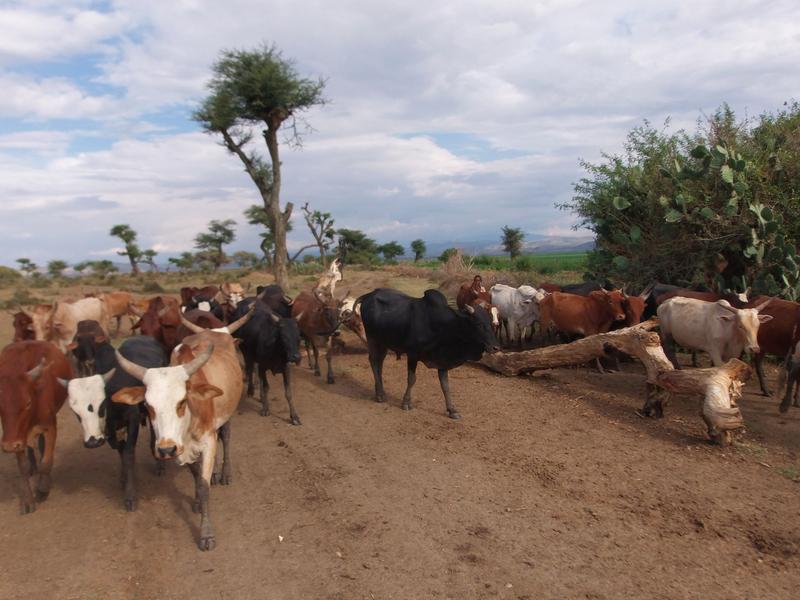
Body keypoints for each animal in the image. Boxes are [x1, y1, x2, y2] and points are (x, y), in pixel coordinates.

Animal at [0, 340, 72, 512]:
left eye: (27, 403)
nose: (8, 446)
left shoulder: (50, 427)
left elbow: (46, 462)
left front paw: (42, 490)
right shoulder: (17, 436)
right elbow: (23, 467)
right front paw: (28, 501)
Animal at [61, 332, 167, 510]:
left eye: (101, 405)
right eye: (75, 412)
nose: (92, 442)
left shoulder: (133, 419)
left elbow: (128, 453)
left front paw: (130, 495)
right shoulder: (111, 431)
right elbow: (120, 450)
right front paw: (124, 478)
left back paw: (159, 463)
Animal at [112, 330, 242, 552]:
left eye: (182, 402)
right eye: (147, 406)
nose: (166, 450)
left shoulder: (207, 441)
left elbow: (204, 487)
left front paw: (206, 534)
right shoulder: (181, 450)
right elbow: (196, 475)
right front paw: (197, 502)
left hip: (226, 416)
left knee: (225, 437)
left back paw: (225, 473)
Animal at [234, 296, 306, 426]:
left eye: (298, 337)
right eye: (283, 337)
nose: (296, 357)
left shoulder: (286, 368)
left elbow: (288, 393)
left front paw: (294, 416)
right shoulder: (263, 366)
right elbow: (266, 387)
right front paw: (265, 408)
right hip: (245, 351)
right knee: (250, 368)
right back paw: (251, 390)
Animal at [358, 288, 496, 420]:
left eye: (490, 323)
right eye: (478, 323)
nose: (495, 347)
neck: (444, 326)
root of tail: (370, 295)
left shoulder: (443, 361)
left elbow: (445, 386)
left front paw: (452, 410)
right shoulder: (412, 355)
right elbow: (411, 379)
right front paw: (406, 402)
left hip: (383, 342)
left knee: (379, 363)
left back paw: (379, 391)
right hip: (372, 338)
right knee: (373, 360)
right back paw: (380, 395)